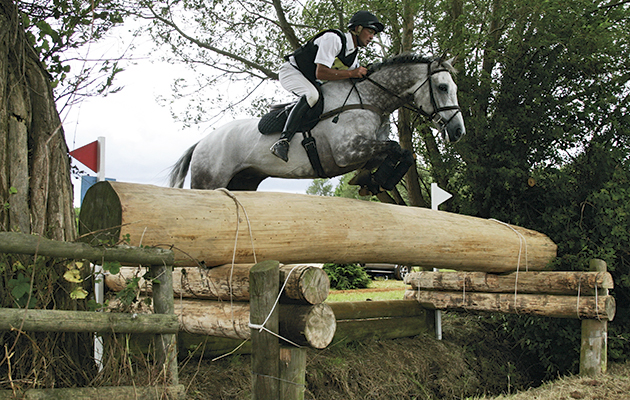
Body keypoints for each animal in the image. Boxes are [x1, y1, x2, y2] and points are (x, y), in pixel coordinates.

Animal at [170, 54, 466, 194]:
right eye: (442, 87)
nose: (458, 131)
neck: (370, 100)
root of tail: (202, 143)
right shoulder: (349, 152)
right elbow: (397, 148)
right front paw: (380, 180)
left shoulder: (366, 151)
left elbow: (402, 153)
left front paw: (371, 181)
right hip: (208, 183)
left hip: (243, 182)